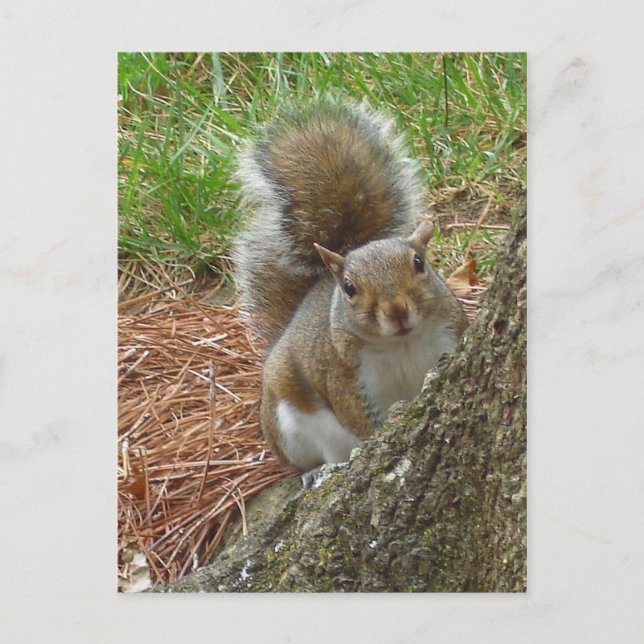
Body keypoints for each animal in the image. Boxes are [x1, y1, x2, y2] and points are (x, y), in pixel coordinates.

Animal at [233, 100, 468, 483]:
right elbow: (357, 418)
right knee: (314, 455)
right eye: (349, 287)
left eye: (419, 263)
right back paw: (315, 473)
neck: (402, 343)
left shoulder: (450, 337)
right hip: (289, 424)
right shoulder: (343, 374)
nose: (397, 310)